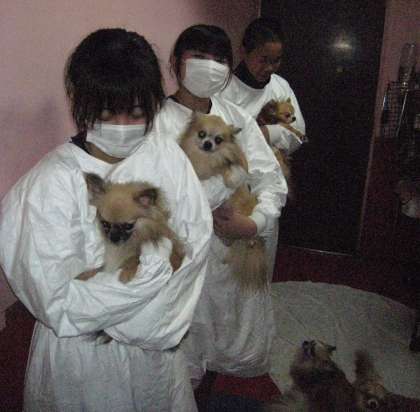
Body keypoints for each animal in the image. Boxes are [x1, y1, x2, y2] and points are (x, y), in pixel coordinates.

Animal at [180, 112, 267, 291]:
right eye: (202, 134)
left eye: (218, 140)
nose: (208, 143)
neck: (206, 159)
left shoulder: (228, 163)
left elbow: (228, 168)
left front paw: (232, 178)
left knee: (250, 237)